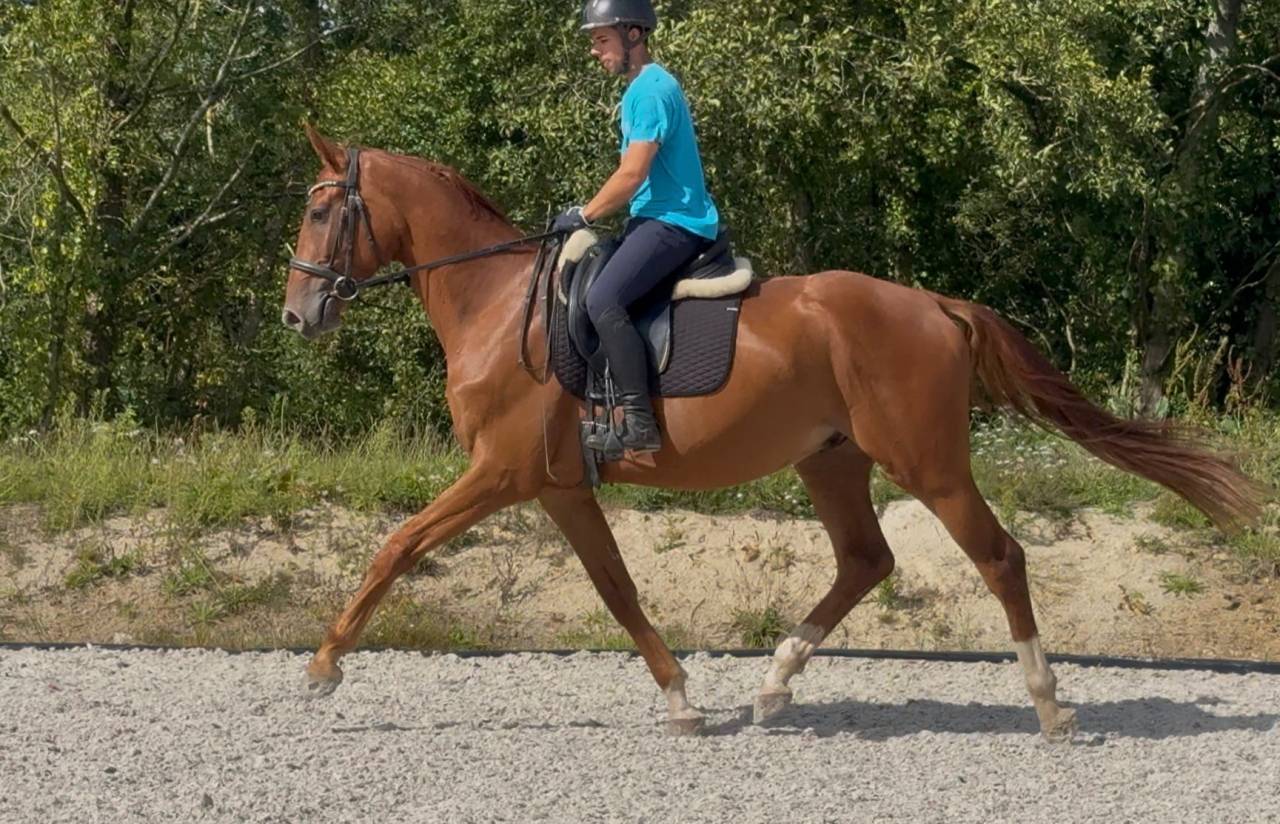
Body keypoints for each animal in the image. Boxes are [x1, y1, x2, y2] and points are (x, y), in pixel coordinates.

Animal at [281, 124, 1265, 739]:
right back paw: (774, 683)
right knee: (867, 559)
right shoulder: (559, 488)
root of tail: (937, 306)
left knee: (998, 557)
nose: (298, 315)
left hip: (929, 463)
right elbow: (618, 590)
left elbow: (397, 546)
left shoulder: (501, 473)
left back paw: (1050, 705)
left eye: (323, 210)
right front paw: (683, 699)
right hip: (833, 462)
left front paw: (323, 668)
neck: (495, 306)